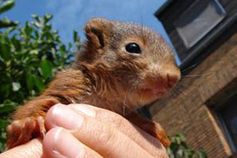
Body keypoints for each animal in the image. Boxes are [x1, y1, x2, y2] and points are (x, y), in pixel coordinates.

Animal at [6, 17, 181, 149]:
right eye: (132, 47)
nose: (174, 77)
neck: (107, 96)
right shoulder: (69, 85)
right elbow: (38, 104)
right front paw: (29, 122)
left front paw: (157, 130)